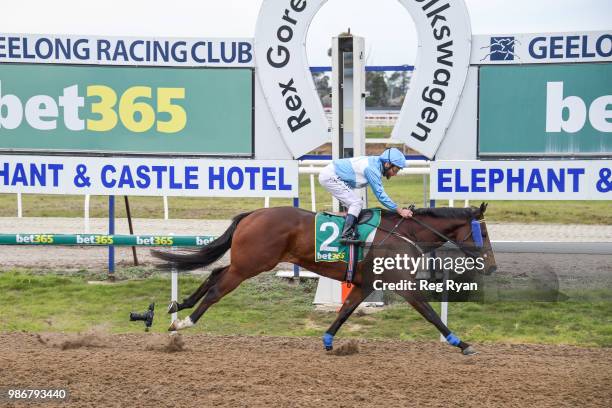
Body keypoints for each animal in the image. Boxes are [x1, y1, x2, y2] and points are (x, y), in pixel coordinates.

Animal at [153, 203, 498, 354]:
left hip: (247, 262)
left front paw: (329, 340)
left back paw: (178, 307)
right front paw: (462, 343)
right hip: (250, 265)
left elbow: (345, 312)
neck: (408, 234)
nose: (492, 266)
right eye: (483, 233)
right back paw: (183, 323)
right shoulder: (403, 285)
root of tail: (251, 214)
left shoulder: (365, 285)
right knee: (217, 290)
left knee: (214, 273)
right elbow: (430, 314)